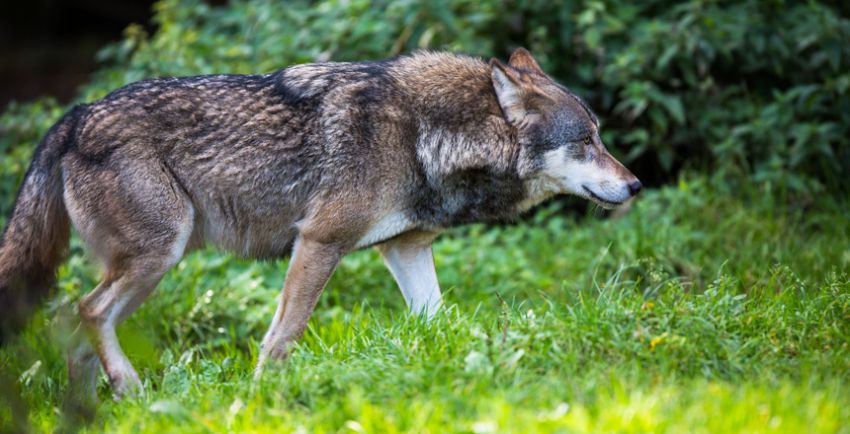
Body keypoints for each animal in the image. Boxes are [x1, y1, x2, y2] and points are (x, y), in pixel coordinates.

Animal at [0, 47, 636, 396]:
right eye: (587, 141)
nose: (634, 186)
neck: (426, 134)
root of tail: (74, 115)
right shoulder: (319, 241)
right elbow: (283, 335)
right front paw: (263, 399)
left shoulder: (405, 249)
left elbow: (439, 321)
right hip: (159, 256)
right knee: (84, 311)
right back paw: (126, 391)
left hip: (150, 266)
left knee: (72, 320)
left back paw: (99, 409)